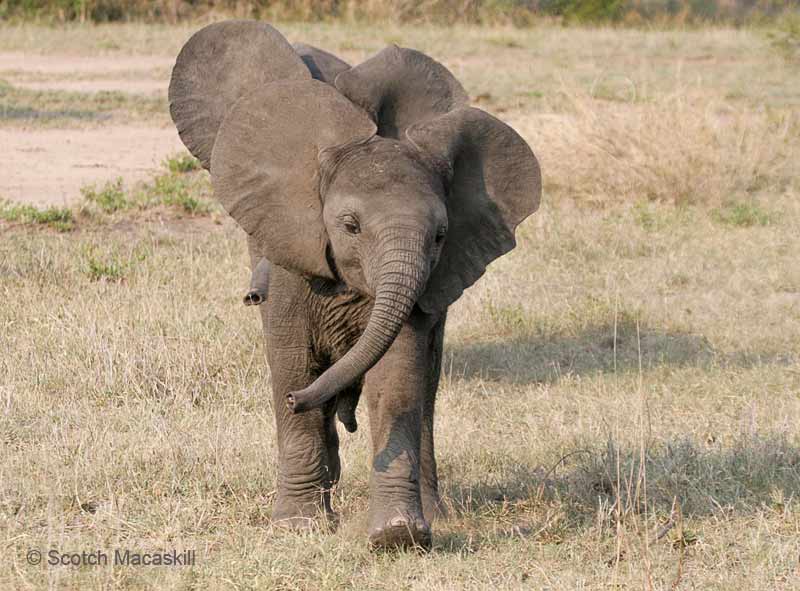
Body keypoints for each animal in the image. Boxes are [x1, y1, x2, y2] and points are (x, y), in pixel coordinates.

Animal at [171, 22, 540, 552]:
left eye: (441, 235)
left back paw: (433, 512)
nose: (297, 400)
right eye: (349, 225)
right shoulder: (291, 245)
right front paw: (298, 526)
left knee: (428, 386)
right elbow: (293, 359)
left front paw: (398, 536)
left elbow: (398, 378)